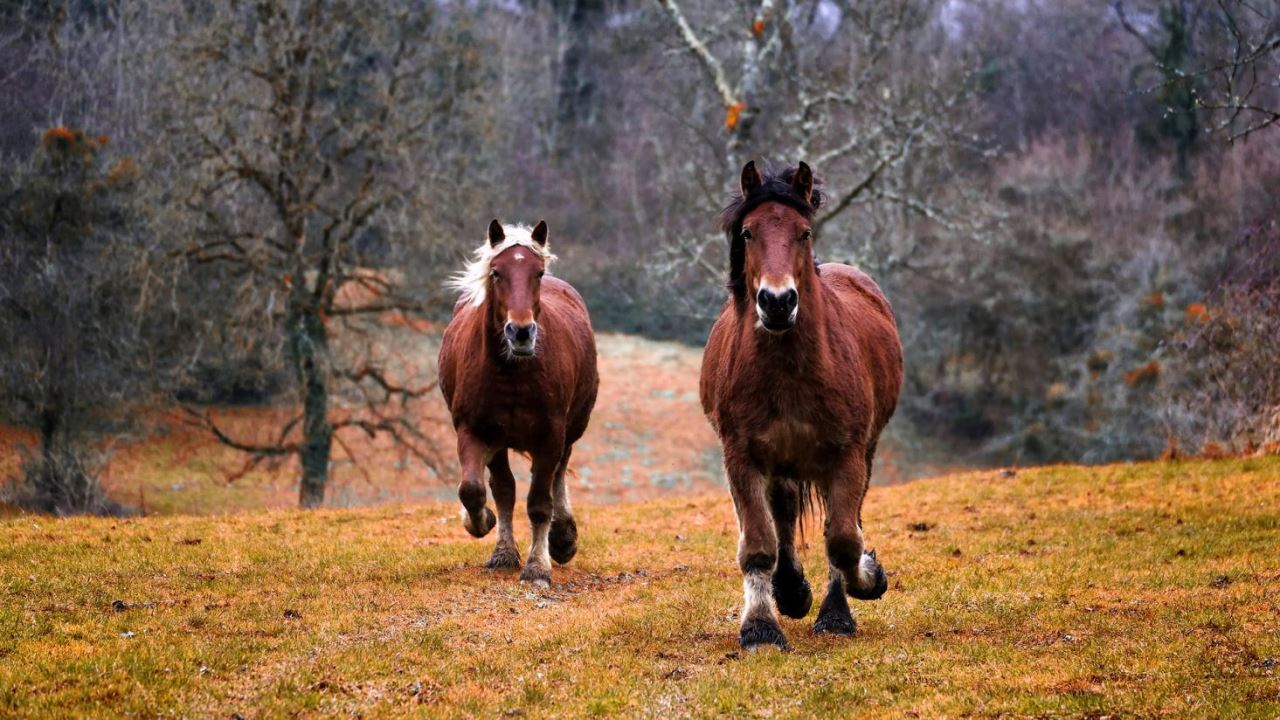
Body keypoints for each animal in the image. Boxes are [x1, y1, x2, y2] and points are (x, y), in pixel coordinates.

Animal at [440, 221, 599, 586]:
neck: (511, 373)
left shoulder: (550, 435)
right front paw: (483, 525)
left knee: (557, 476)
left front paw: (538, 566)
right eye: (496, 272)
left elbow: (540, 503)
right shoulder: (474, 431)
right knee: (504, 488)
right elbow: (475, 490)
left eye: (537, 273)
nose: (521, 332)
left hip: (570, 431)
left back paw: (562, 539)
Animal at [701, 162, 901, 650]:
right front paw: (760, 626)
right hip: (782, 463)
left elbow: (844, 539)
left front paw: (865, 583)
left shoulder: (847, 455)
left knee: (839, 522)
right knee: (785, 517)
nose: (777, 302)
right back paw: (790, 591)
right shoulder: (742, 457)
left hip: (859, 454)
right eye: (748, 232)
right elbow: (759, 544)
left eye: (804, 232)